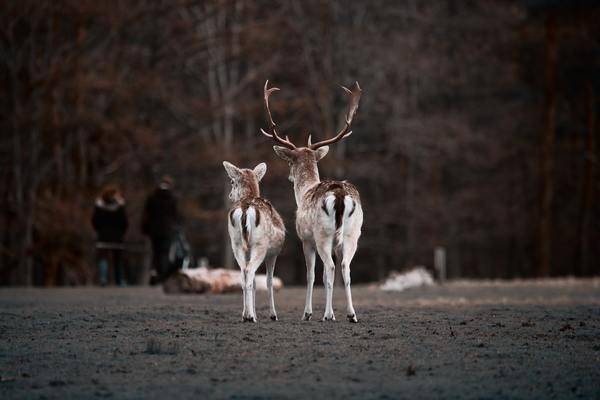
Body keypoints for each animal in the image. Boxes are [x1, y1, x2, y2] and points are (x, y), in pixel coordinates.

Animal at [224, 161, 284, 324]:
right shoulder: (273, 254)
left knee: (243, 274)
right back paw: (250, 317)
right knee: (249, 271)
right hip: (260, 245)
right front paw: (273, 315)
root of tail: (245, 209)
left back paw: (246, 315)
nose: (230, 195)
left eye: (232, 182)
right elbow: (269, 281)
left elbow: (256, 282)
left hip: (236, 244)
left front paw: (253, 313)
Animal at [262, 80, 364, 322]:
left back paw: (327, 315)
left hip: (322, 234)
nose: (290, 177)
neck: (304, 192)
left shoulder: (305, 238)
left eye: (290, 162)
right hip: (352, 233)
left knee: (331, 268)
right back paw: (352, 314)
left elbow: (311, 275)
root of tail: (340, 196)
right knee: (345, 268)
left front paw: (308, 313)